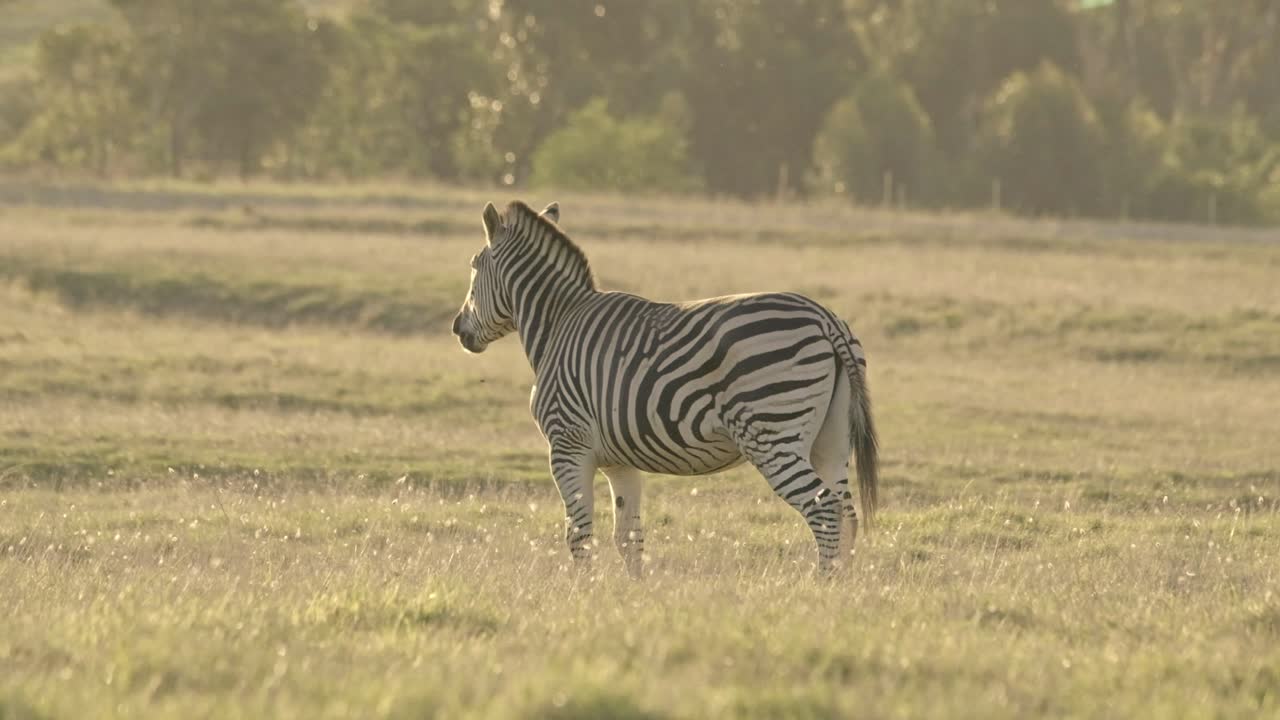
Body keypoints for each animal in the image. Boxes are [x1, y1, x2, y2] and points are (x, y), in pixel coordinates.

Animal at [451, 200, 878, 576]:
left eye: (473, 267)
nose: (458, 329)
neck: (558, 324)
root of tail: (824, 318)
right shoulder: (619, 460)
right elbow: (628, 537)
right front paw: (631, 596)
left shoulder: (567, 447)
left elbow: (579, 536)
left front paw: (582, 592)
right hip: (831, 440)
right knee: (846, 514)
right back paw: (839, 590)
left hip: (772, 434)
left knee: (823, 510)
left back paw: (819, 586)